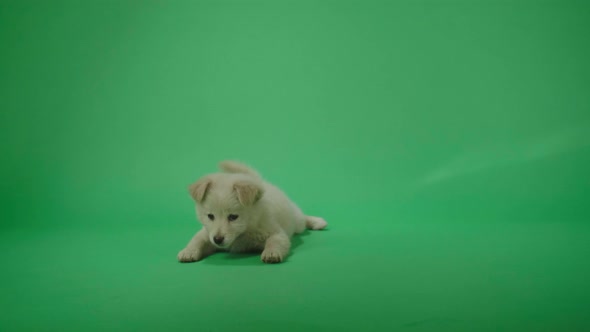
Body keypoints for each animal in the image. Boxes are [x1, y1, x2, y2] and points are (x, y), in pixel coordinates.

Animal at [178, 161, 330, 264]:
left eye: (233, 217)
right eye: (210, 216)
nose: (218, 239)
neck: (244, 231)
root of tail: (262, 182)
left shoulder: (276, 232)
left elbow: (275, 241)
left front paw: (271, 253)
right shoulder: (207, 233)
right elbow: (197, 240)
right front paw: (188, 251)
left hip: (296, 220)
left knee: (302, 219)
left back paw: (317, 221)